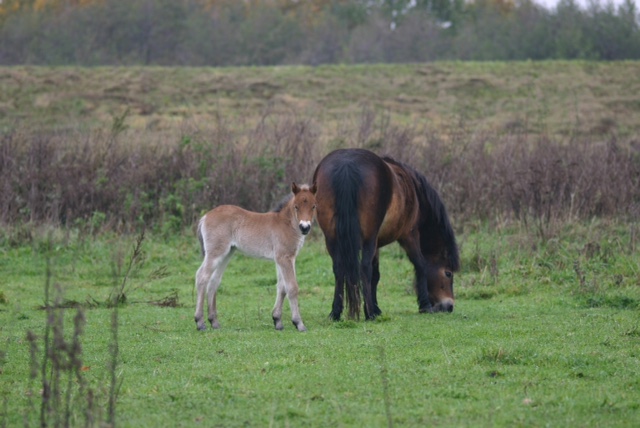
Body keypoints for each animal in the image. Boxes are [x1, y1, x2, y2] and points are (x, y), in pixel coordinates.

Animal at [194, 182, 317, 332]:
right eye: (296, 206)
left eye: (313, 206)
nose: (305, 227)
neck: (286, 223)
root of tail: (205, 216)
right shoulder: (285, 257)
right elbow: (292, 288)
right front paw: (299, 323)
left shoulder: (283, 259)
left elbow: (282, 287)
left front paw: (277, 321)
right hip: (215, 253)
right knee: (202, 277)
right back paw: (200, 322)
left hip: (227, 254)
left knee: (214, 281)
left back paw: (214, 322)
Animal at [312, 148, 460, 321]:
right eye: (448, 273)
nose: (449, 306)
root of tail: (347, 165)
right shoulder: (409, 234)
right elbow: (420, 264)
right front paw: (424, 305)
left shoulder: (377, 245)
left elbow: (376, 276)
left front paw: (377, 308)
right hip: (368, 239)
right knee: (364, 268)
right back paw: (369, 313)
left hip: (332, 239)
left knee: (339, 268)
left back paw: (336, 312)